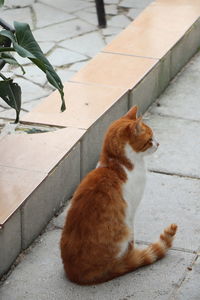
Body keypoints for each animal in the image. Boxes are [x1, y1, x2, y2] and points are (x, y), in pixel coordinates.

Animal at [60, 106, 177, 284]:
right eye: (150, 139)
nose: (158, 144)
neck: (116, 163)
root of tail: (76, 273)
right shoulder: (131, 212)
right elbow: (132, 238)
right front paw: (132, 252)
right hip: (123, 230)